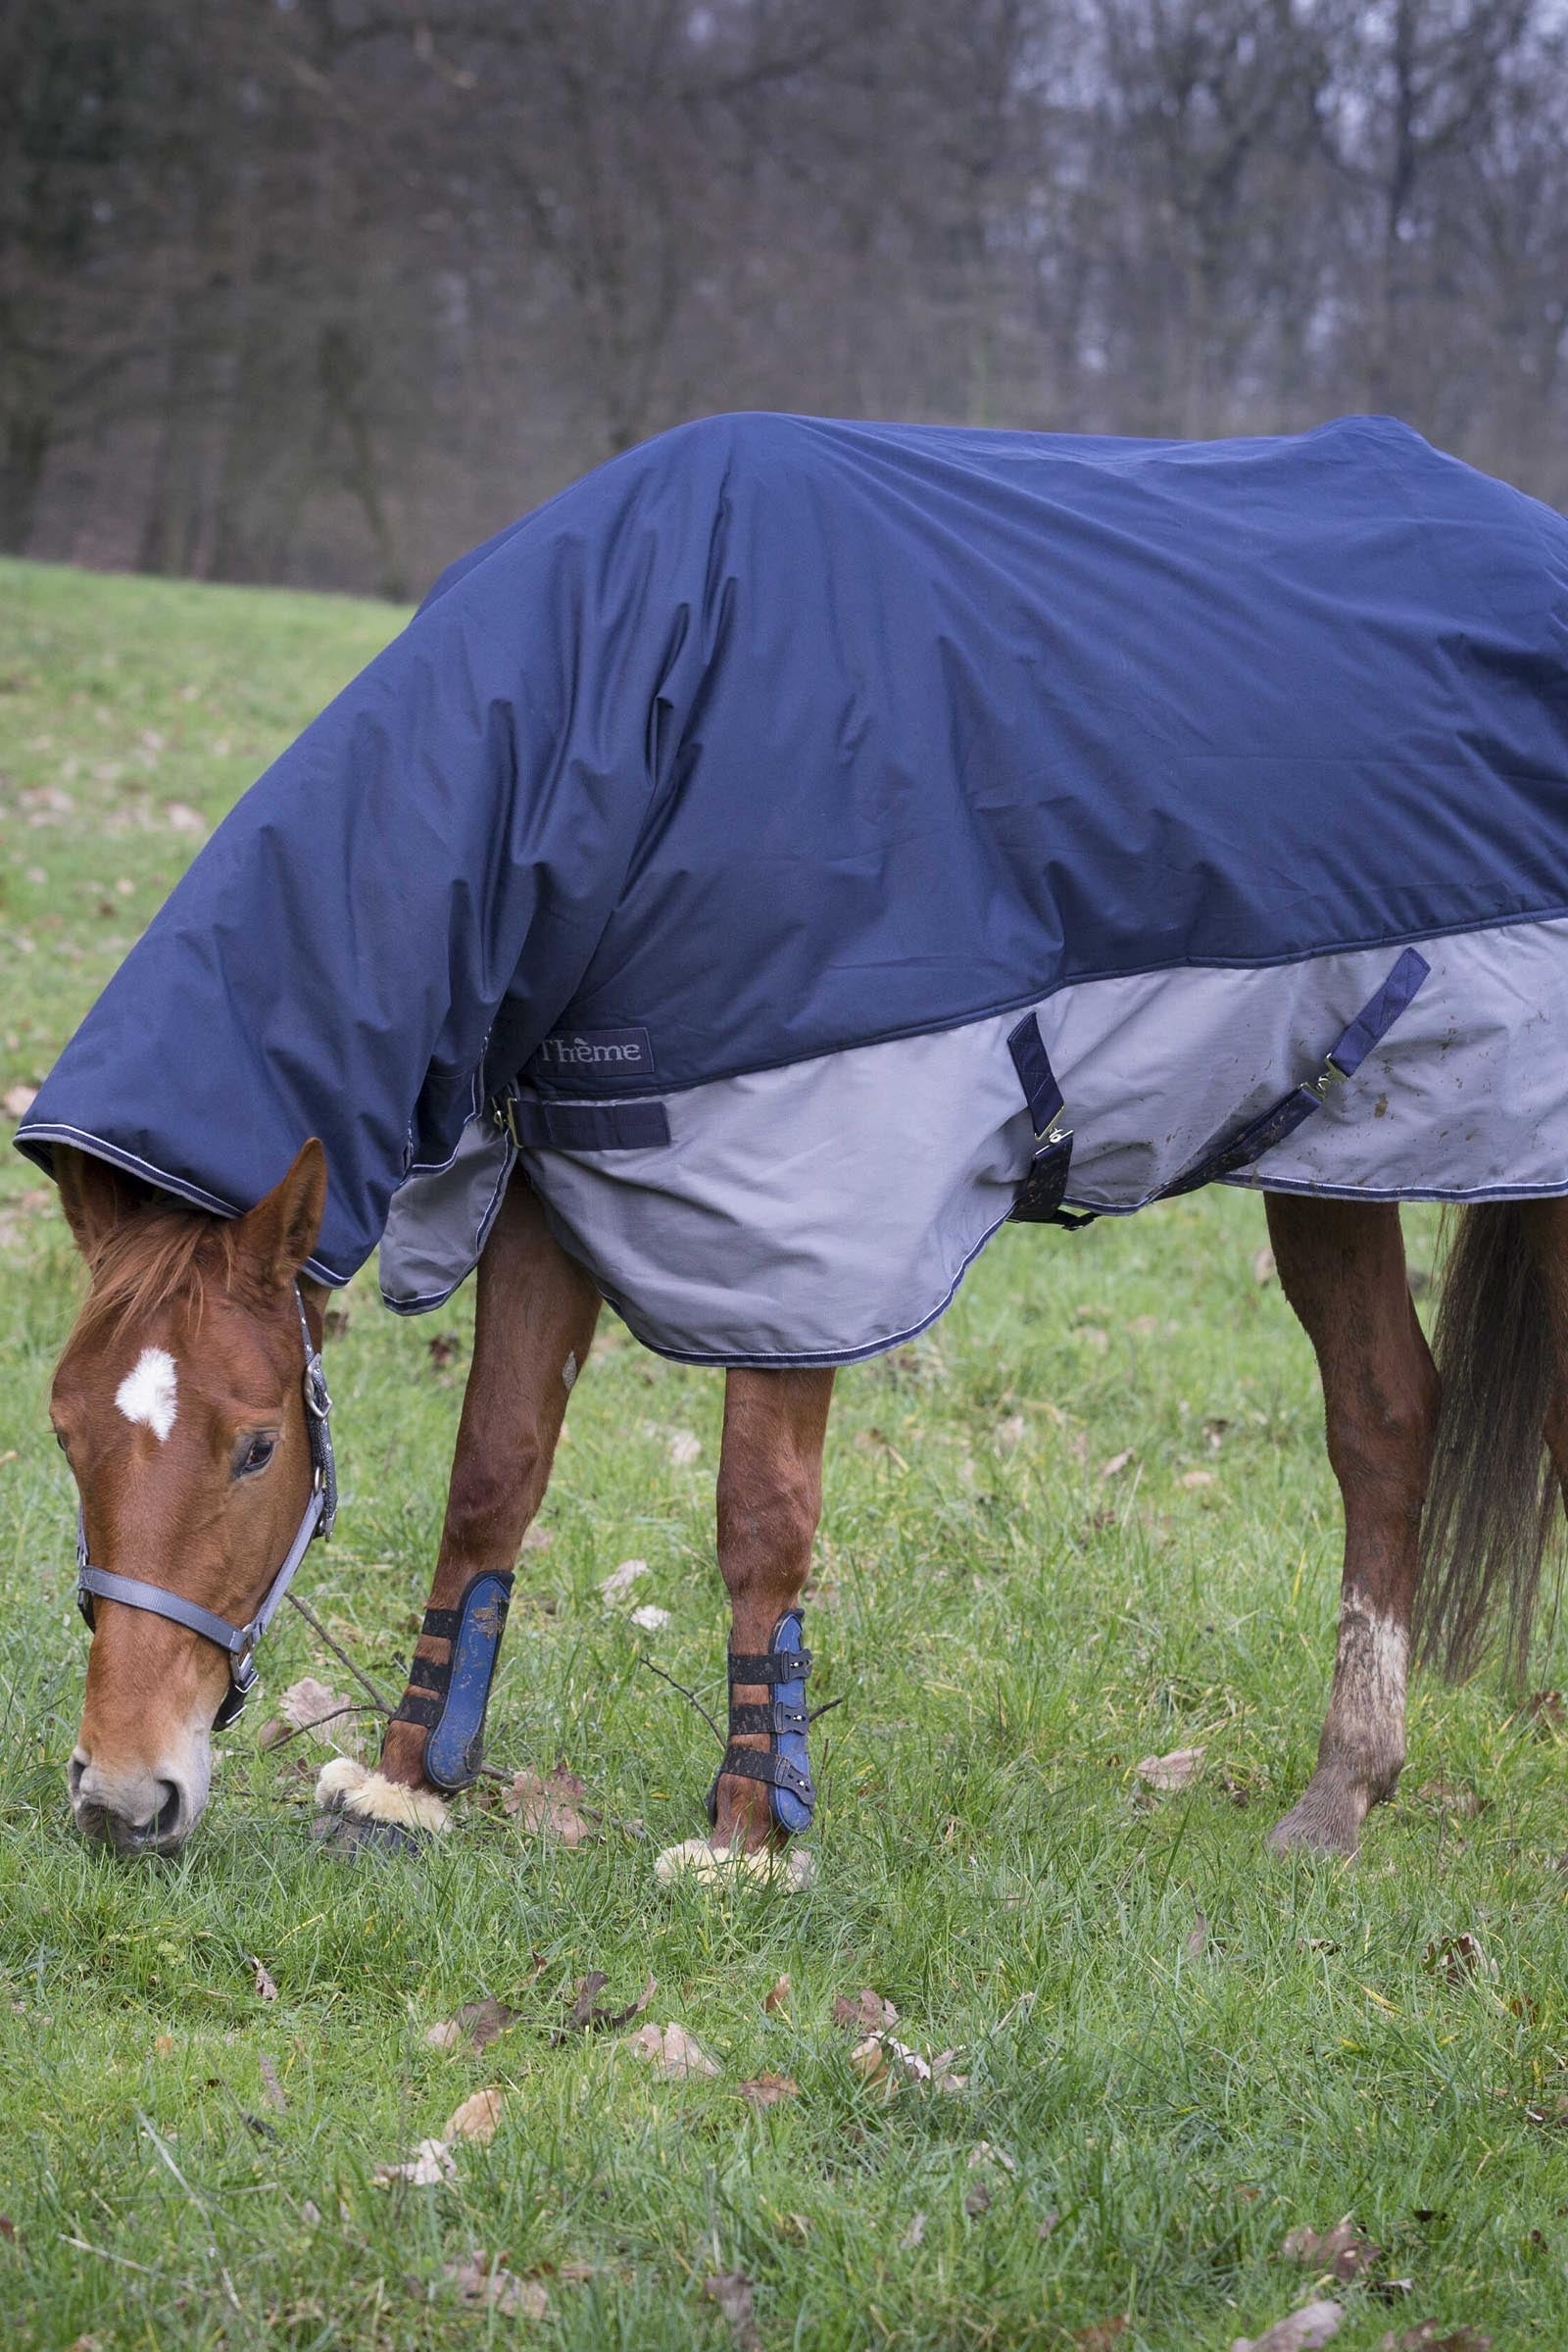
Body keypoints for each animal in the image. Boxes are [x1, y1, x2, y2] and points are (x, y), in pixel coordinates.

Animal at [23, 408, 1568, 1864]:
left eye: (256, 1450)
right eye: (64, 1432)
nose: (123, 1796)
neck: (636, 711)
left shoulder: (801, 1202)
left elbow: (760, 1516)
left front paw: (747, 1837)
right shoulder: (554, 1162)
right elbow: (492, 1477)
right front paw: (405, 1787)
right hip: (1331, 1153)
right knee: (1384, 1419)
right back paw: (1343, 1792)